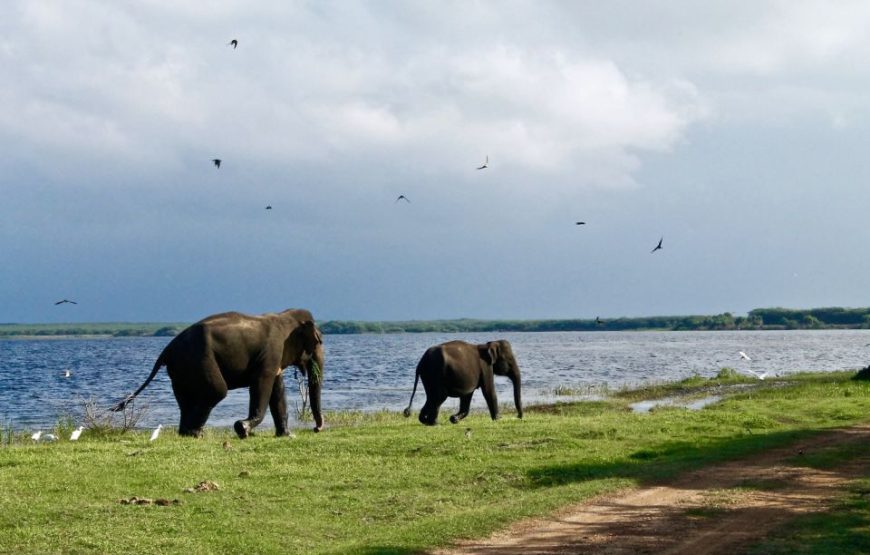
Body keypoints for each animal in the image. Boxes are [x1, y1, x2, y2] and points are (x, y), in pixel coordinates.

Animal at [112, 308, 324, 438]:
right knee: (217, 391)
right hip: (199, 360)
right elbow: (262, 384)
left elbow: (277, 390)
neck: (283, 316)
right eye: (318, 342)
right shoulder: (271, 354)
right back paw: (195, 434)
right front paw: (242, 429)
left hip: (180, 371)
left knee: (186, 399)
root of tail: (167, 350)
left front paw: (287, 435)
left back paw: (187, 434)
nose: (317, 429)